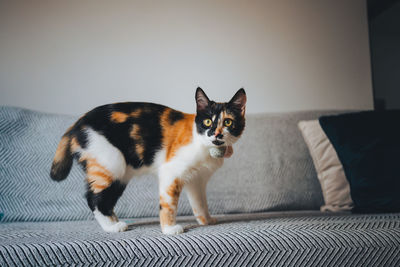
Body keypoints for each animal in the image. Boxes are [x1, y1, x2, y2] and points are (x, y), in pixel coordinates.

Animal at [49, 88, 244, 234]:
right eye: (208, 121)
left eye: (228, 122)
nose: (217, 134)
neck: (202, 143)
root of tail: (76, 125)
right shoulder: (170, 172)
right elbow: (168, 204)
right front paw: (169, 229)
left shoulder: (197, 180)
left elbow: (200, 203)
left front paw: (206, 220)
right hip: (111, 163)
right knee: (94, 199)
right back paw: (112, 227)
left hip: (119, 174)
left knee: (107, 198)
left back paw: (114, 220)